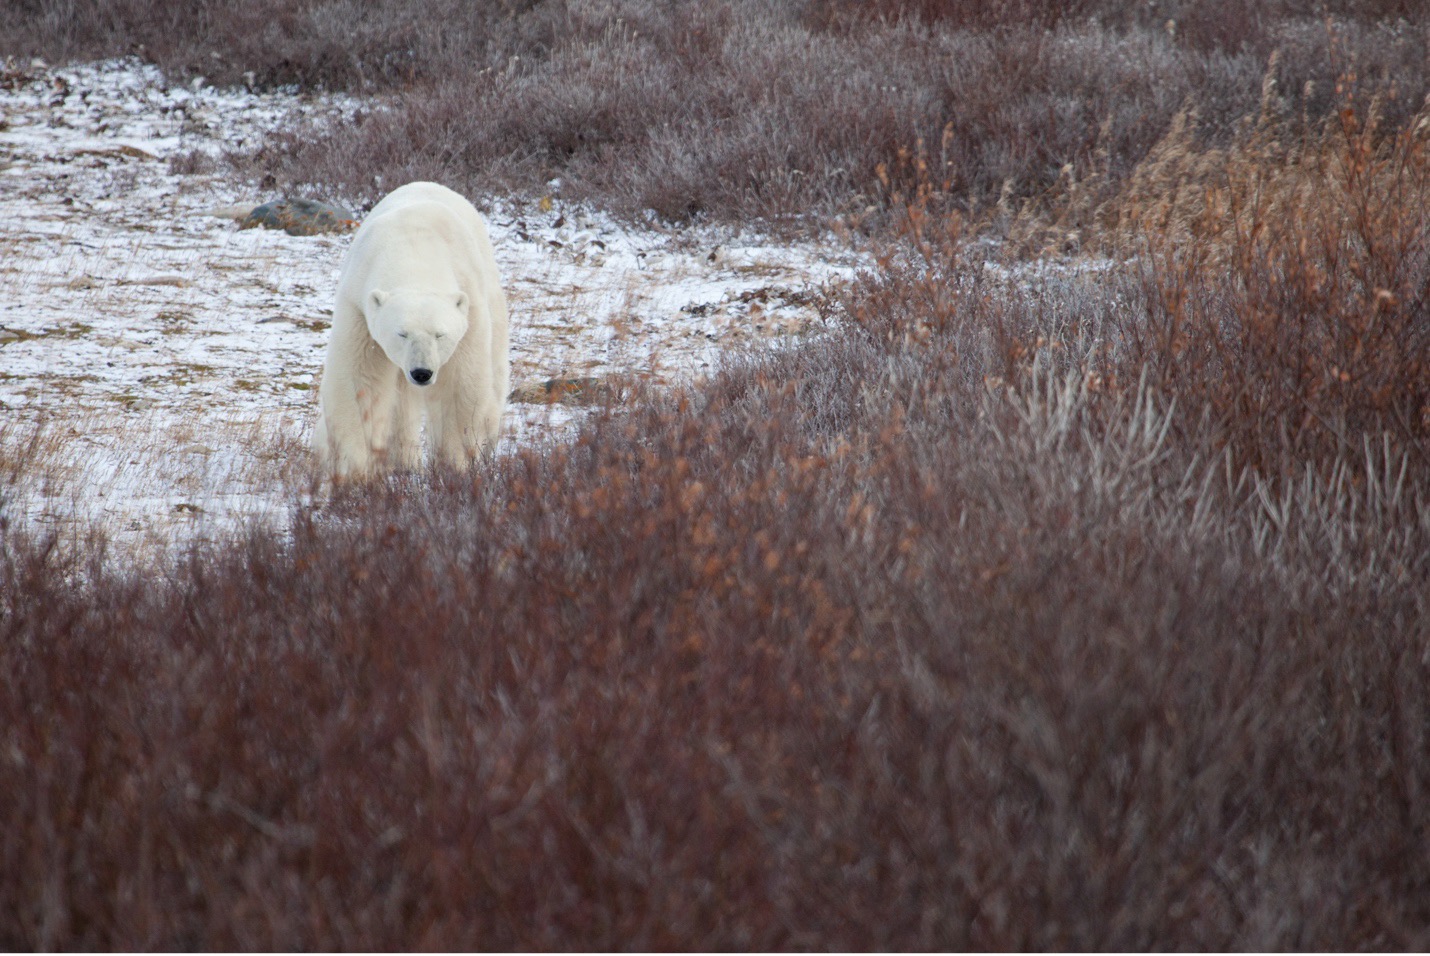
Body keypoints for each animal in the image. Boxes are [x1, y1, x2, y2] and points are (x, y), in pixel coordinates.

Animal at [316, 180, 511, 477]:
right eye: (401, 333)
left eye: (440, 334)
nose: (421, 372)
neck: (413, 249)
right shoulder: (359, 306)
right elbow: (361, 381)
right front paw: (356, 469)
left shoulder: (469, 307)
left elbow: (459, 384)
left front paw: (455, 463)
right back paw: (404, 460)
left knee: (495, 375)